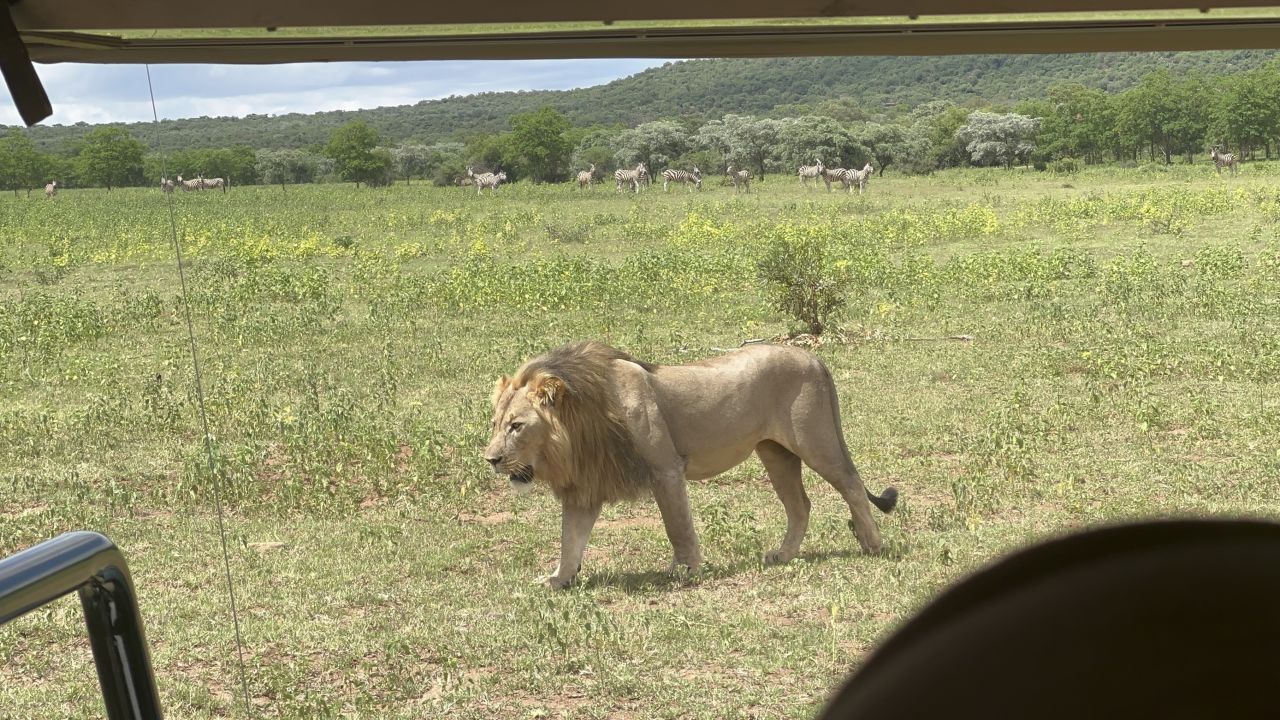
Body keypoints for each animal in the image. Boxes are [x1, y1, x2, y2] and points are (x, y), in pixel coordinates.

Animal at [483, 338, 896, 586]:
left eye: (517, 426)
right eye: (495, 424)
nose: (491, 459)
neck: (582, 424)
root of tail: (813, 356)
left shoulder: (666, 469)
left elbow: (677, 526)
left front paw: (685, 571)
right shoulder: (586, 485)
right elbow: (570, 539)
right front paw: (558, 579)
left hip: (815, 441)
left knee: (851, 484)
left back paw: (873, 544)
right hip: (775, 452)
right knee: (799, 504)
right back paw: (783, 555)